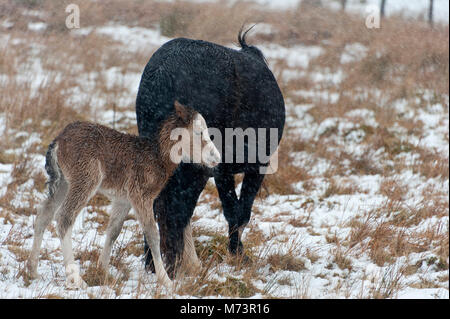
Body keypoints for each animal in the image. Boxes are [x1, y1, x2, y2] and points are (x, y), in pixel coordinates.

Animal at [136, 27, 284, 278]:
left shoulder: (221, 170)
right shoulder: (255, 166)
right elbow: (239, 212)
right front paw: (238, 255)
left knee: (158, 206)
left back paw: (155, 263)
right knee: (177, 209)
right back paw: (176, 265)